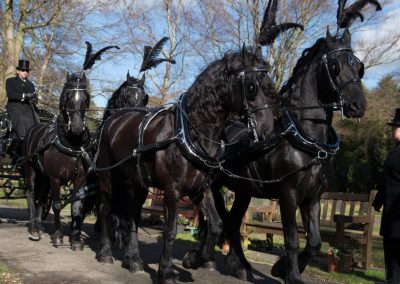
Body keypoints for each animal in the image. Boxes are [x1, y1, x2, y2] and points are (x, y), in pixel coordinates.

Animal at [95, 45, 274, 282]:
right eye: (252, 86)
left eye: (269, 85)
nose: (267, 129)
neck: (189, 133)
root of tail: (113, 120)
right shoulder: (173, 190)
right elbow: (170, 231)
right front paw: (166, 271)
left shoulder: (201, 189)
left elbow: (216, 225)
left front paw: (197, 259)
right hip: (108, 176)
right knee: (106, 208)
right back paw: (105, 252)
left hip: (138, 183)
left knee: (132, 215)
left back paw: (133, 260)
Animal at [206, 1, 382, 282]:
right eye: (335, 65)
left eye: (358, 66)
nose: (358, 105)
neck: (308, 141)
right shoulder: (288, 195)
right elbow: (291, 239)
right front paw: (292, 274)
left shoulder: (313, 198)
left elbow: (315, 241)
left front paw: (283, 268)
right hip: (215, 184)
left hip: (244, 190)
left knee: (233, 221)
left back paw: (239, 265)